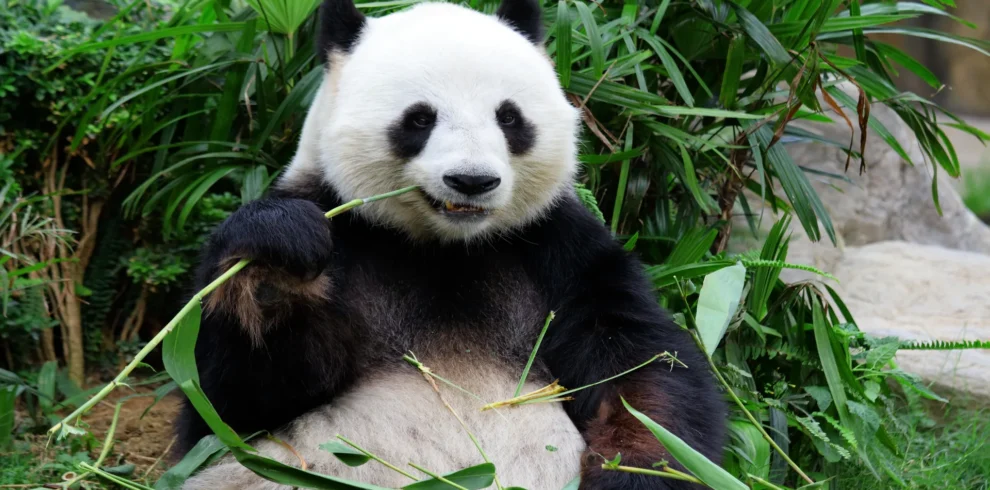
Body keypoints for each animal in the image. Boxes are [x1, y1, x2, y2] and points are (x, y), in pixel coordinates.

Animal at [173, 0, 727, 489]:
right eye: (419, 118)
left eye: (509, 117)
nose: (472, 181)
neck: (446, 248)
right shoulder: (344, 226)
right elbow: (229, 403)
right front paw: (276, 263)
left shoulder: (558, 247)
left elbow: (642, 369)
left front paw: (640, 470)